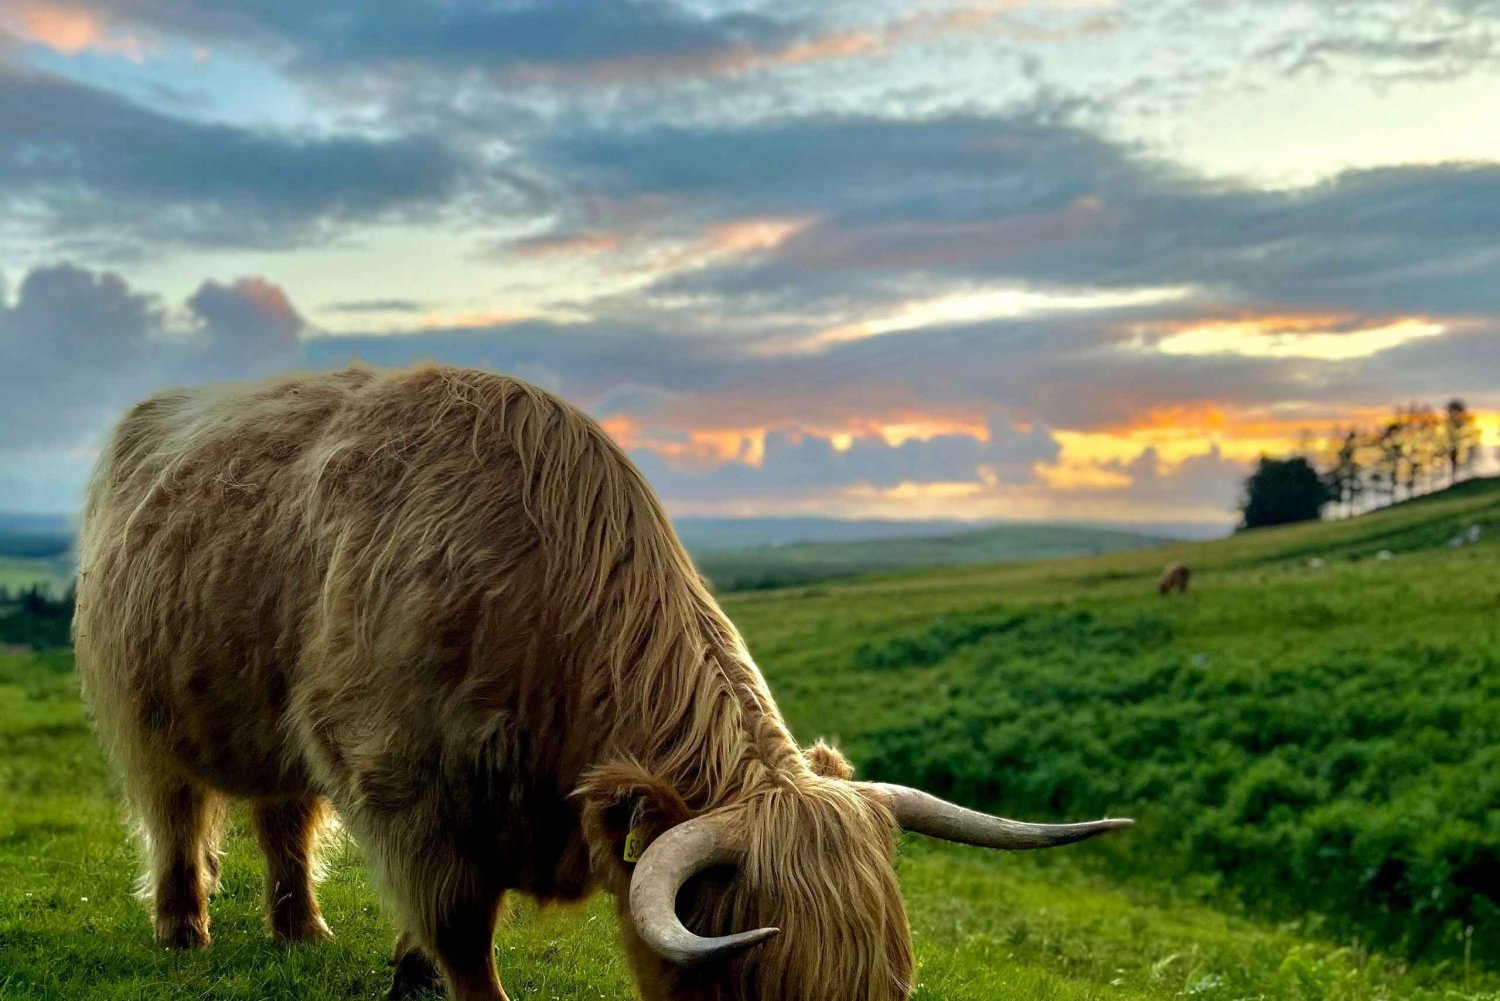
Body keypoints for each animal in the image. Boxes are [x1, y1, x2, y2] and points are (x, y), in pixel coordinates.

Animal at [70, 367, 1128, 1001]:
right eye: (772, 990)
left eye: (895, 986)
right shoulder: (406, 791)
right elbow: (461, 932)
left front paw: (405, 972)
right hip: (142, 710)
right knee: (177, 816)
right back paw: (183, 930)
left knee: (284, 816)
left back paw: (304, 930)